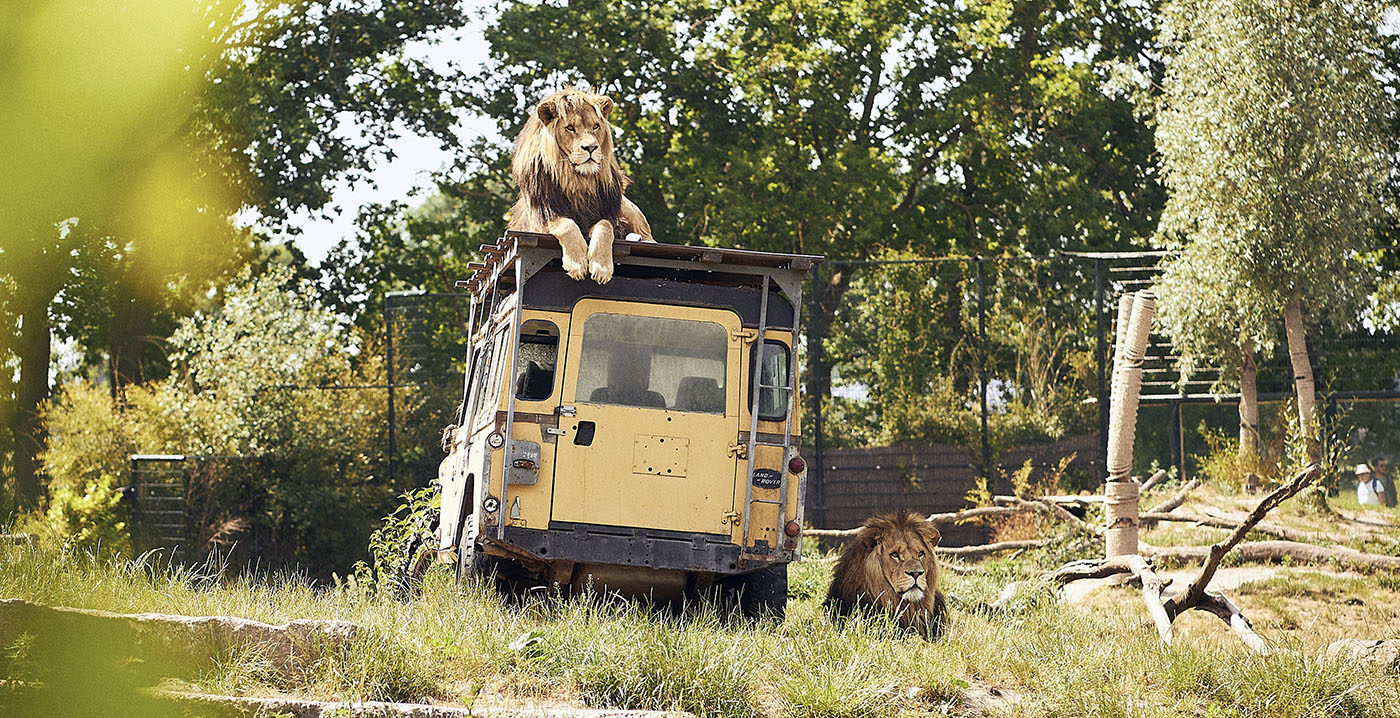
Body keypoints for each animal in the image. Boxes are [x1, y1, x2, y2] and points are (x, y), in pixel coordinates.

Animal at [506, 86, 652, 282]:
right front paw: (577, 263)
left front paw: (602, 267)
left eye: (595, 126)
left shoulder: (608, 215)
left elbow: (605, 227)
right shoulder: (542, 217)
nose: (591, 147)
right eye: (570, 128)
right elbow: (567, 225)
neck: (578, 180)